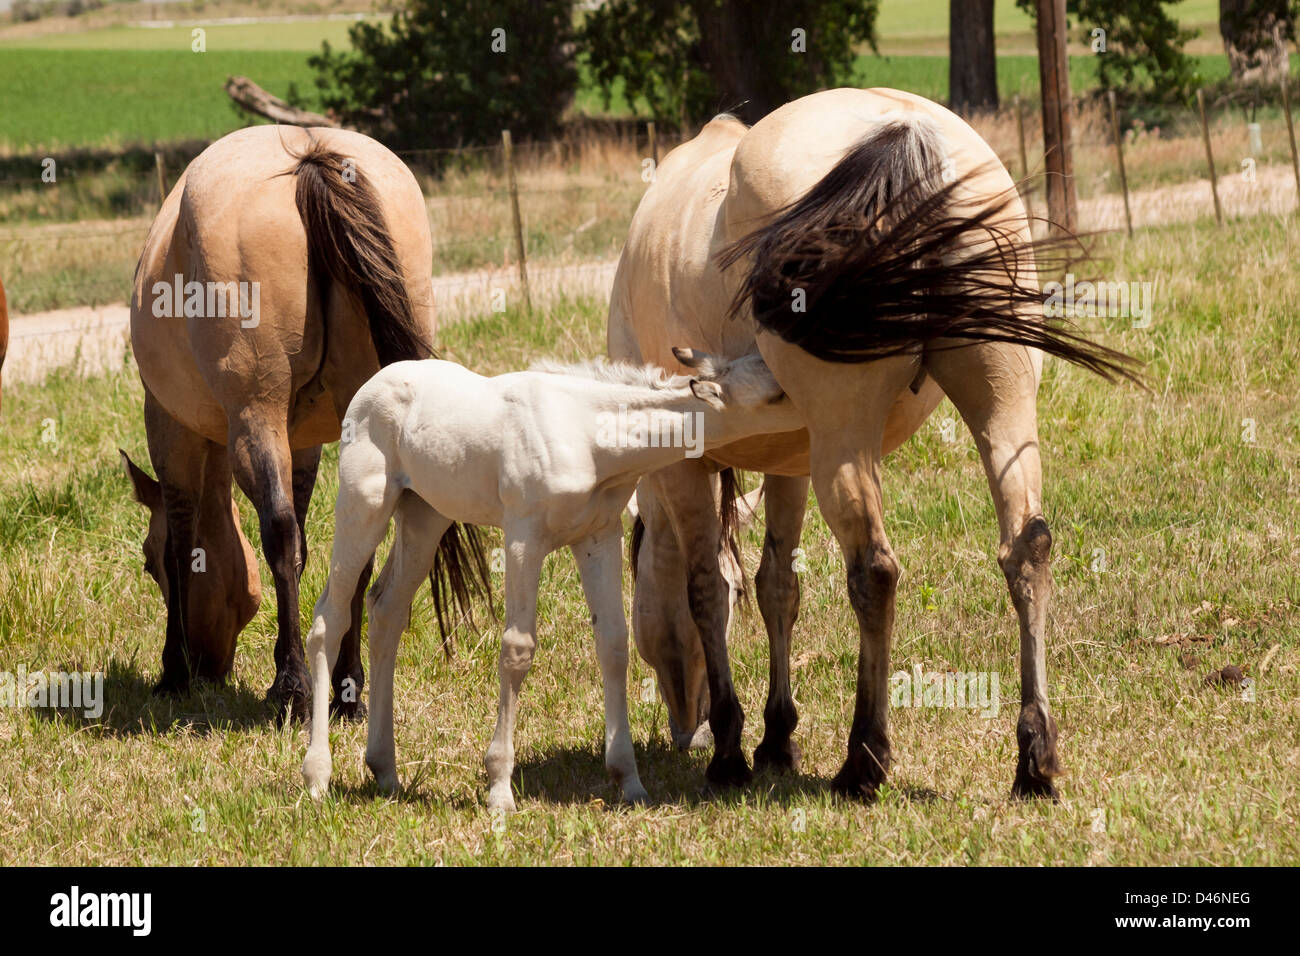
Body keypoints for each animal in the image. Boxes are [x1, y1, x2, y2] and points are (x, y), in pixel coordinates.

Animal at [122, 124, 485, 723]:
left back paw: (290, 683)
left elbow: (185, 541)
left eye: (146, 565)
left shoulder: (172, 429)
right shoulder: (306, 444)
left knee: (279, 529)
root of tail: (310, 158)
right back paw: (348, 688)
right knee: (357, 538)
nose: (209, 667)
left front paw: (174, 670)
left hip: (257, 414)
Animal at [300, 348, 805, 810]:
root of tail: (370, 385)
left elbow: (614, 645)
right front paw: (500, 789)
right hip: (364, 504)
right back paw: (317, 776)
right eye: (776, 393)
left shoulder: (599, 536)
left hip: (425, 516)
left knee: (385, 608)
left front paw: (630, 781)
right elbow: (517, 648)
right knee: (330, 619)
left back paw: (385, 770)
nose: (812, 423)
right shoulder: (524, 537)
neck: (586, 433)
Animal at [608, 87, 1139, 800]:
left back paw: (864, 760)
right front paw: (776, 739)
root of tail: (905, 135)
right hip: (1001, 403)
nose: (681, 729)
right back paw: (1035, 758)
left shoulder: (686, 469)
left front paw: (730, 750)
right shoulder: (789, 464)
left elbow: (707, 591)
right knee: (1027, 547)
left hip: (845, 435)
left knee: (875, 571)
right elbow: (777, 586)